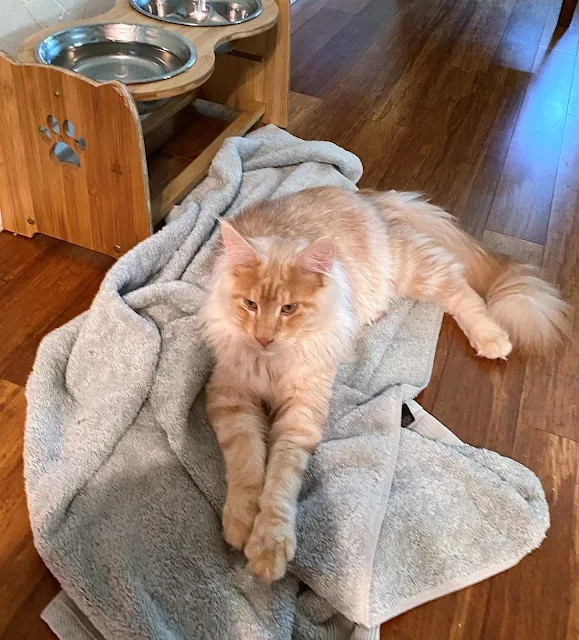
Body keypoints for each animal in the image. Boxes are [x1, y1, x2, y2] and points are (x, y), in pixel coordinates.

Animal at [202, 188, 568, 584]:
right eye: (250, 304)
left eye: (289, 309)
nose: (264, 338)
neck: (273, 362)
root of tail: (372, 198)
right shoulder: (231, 397)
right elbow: (246, 465)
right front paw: (240, 523)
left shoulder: (301, 410)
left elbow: (279, 482)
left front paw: (268, 546)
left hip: (414, 270)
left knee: (460, 290)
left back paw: (491, 338)